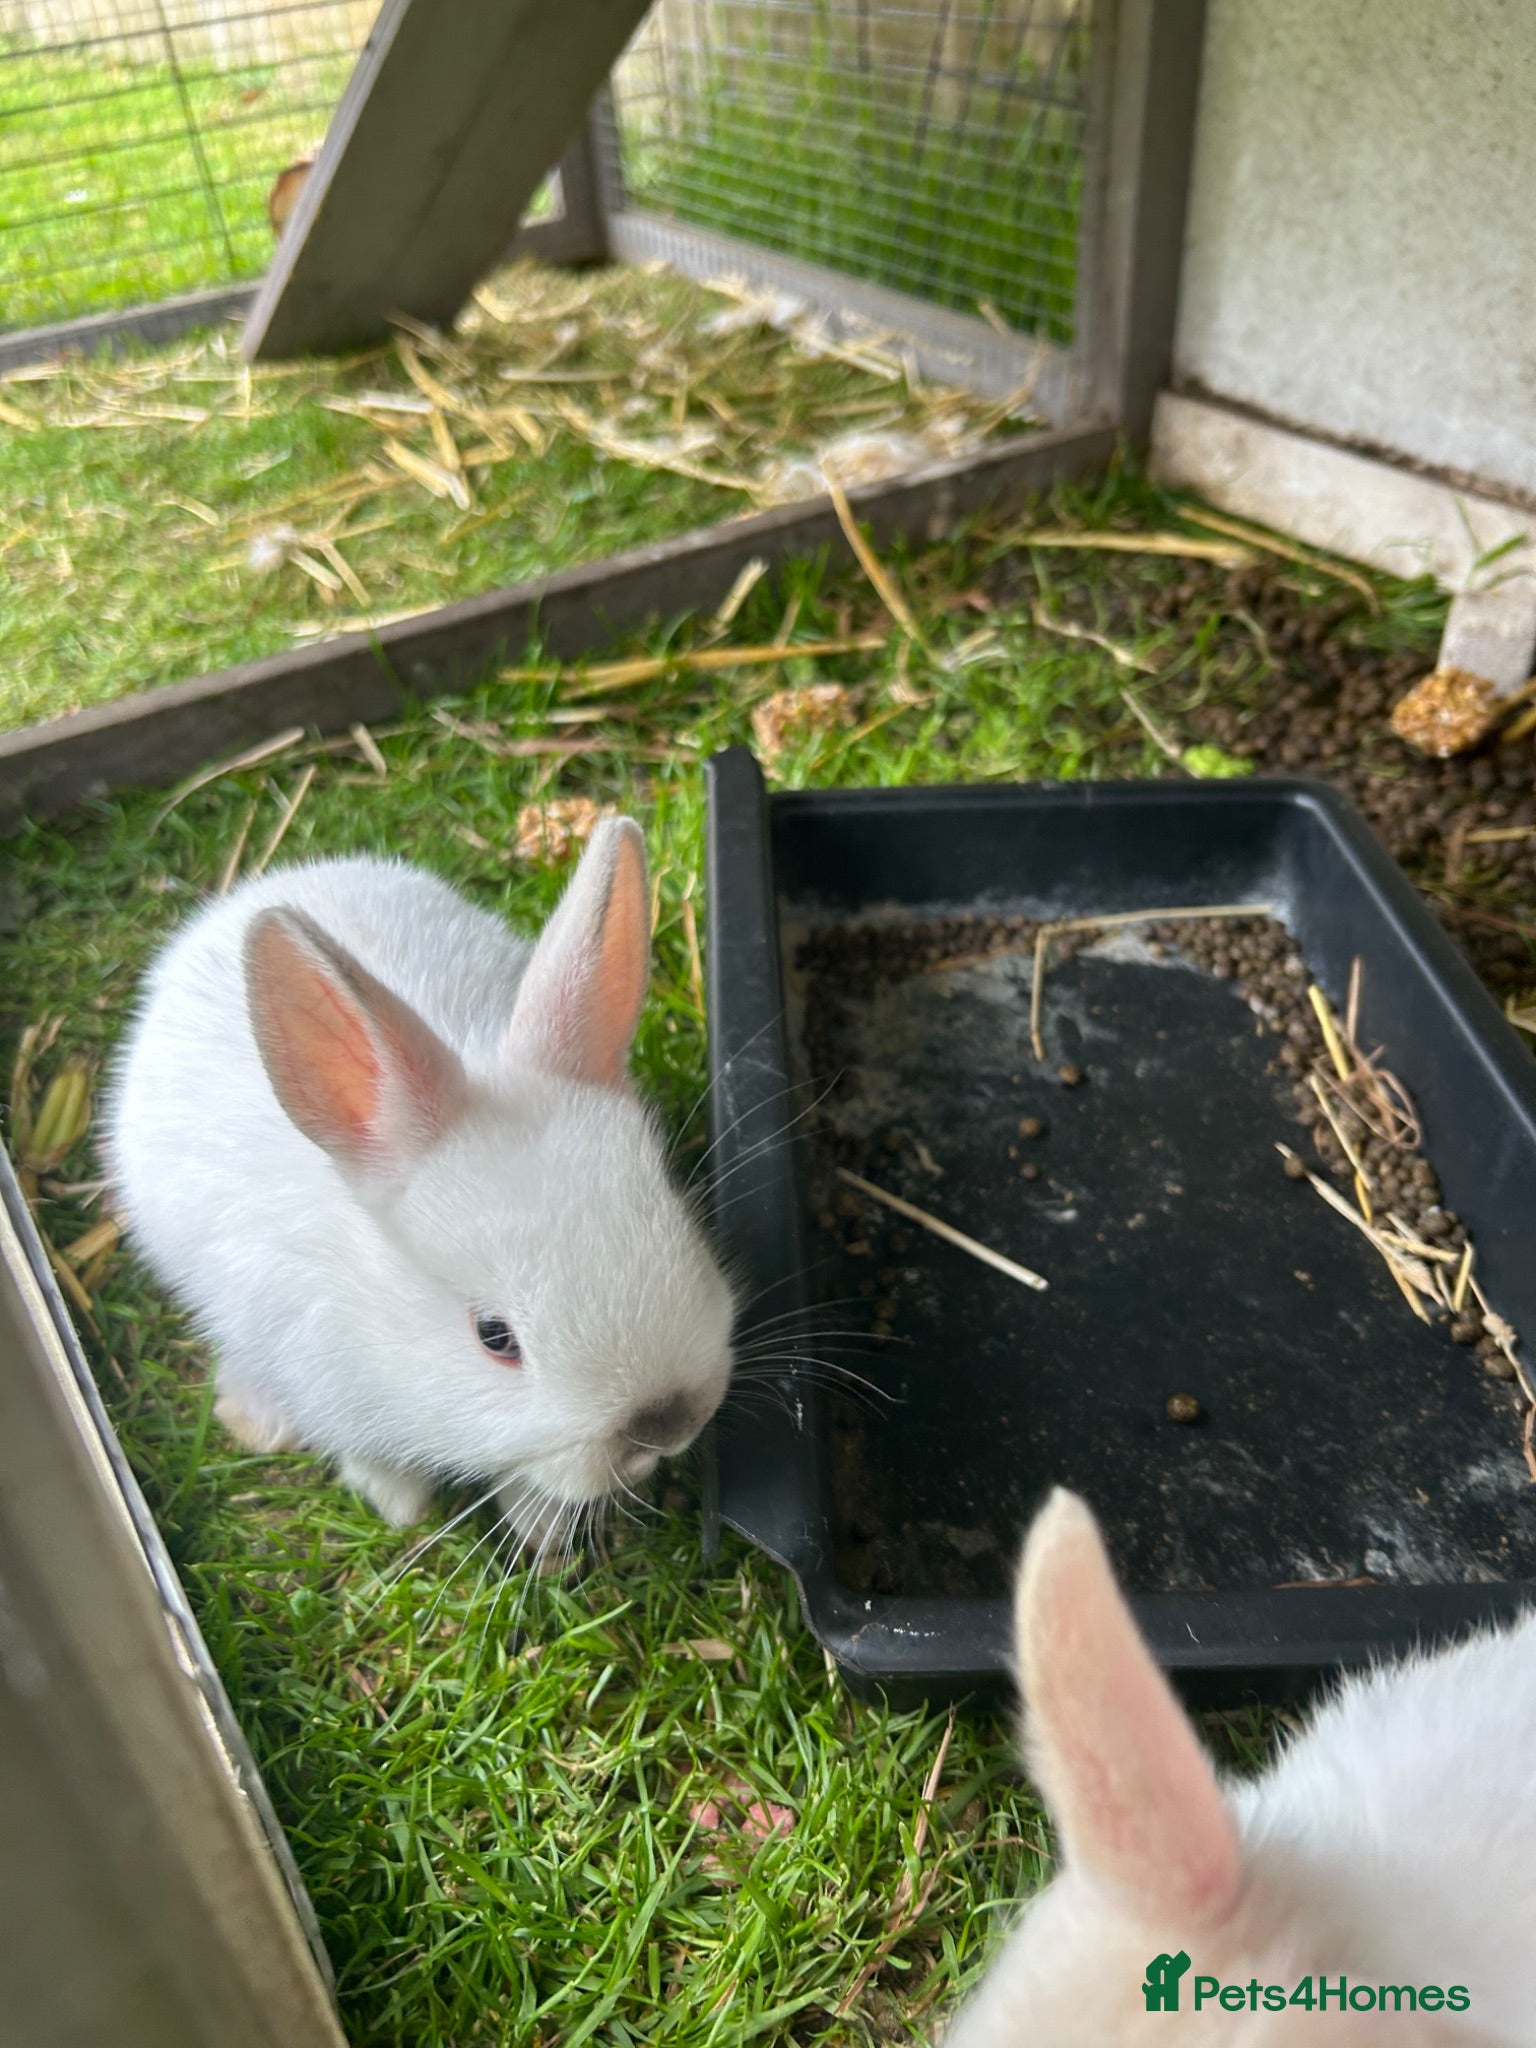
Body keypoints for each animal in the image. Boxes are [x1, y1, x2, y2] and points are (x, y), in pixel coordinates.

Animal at [105, 819, 735, 1538]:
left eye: (679, 1221)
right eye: (495, 1337)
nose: (667, 1423)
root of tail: (255, 891)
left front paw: (539, 1530)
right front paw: (401, 1506)